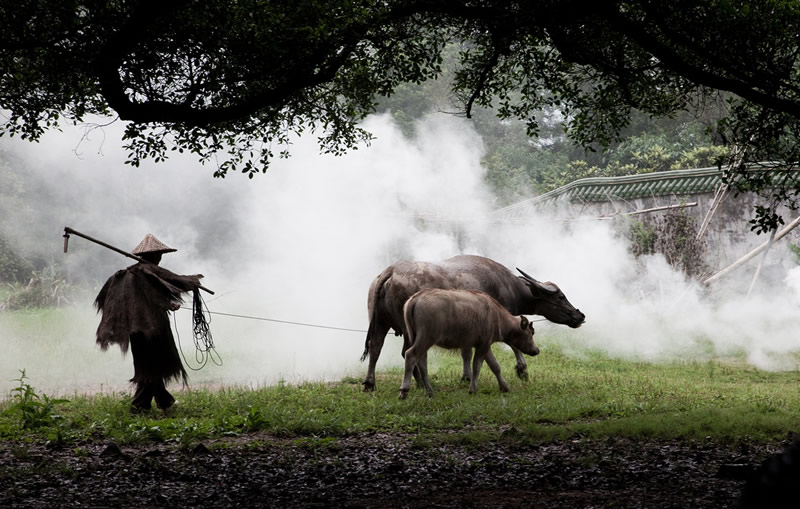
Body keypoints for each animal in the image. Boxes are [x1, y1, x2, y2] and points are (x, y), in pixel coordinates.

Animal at [398, 288, 536, 398]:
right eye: (531, 333)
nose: (536, 350)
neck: (496, 315)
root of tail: (416, 298)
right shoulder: (483, 345)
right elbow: (476, 366)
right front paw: (472, 389)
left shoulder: (484, 345)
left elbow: (495, 366)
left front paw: (504, 387)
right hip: (427, 337)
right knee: (411, 355)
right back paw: (404, 390)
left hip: (418, 338)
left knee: (422, 362)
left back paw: (429, 391)